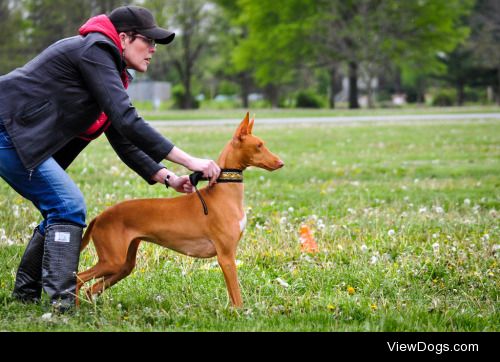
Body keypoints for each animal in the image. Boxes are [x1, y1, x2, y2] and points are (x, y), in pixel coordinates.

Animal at [76, 112, 284, 306]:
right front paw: (240, 315)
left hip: (123, 266)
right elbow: (237, 297)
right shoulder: (226, 256)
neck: (224, 194)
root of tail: (100, 216)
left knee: (90, 288)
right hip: (112, 261)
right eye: (259, 145)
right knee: (78, 279)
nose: (281, 163)